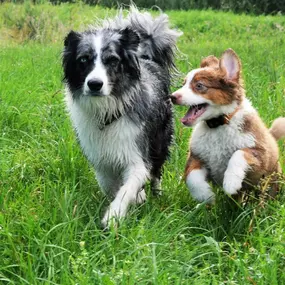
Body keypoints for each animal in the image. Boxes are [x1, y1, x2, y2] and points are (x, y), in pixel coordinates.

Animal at [62, 5, 180, 225]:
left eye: (112, 60)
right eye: (83, 60)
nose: (95, 84)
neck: (107, 111)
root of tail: (148, 59)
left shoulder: (136, 150)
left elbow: (129, 186)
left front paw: (113, 216)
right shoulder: (100, 160)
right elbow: (111, 186)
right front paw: (125, 201)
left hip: (160, 138)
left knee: (156, 170)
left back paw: (156, 193)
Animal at [170, 48, 282, 202]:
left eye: (199, 86)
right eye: (183, 84)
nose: (172, 97)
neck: (217, 126)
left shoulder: (261, 154)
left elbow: (239, 153)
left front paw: (231, 183)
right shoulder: (197, 156)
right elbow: (191, 177)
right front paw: (205, 196)